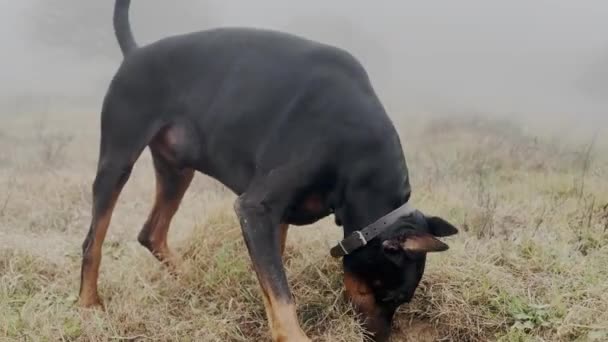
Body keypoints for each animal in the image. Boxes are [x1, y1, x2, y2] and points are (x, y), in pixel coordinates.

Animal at [77, 1, 456, 340]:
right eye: (393, 296)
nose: (379, 338)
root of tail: (135, 52)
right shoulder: (255, 208)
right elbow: (280, 292)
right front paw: (293, 335)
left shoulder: (277, 218)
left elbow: (273, 278)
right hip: (118, 159)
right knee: (93, 240)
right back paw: (88, 305)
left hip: (176, 170)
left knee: (151, 233)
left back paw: (191, 279)